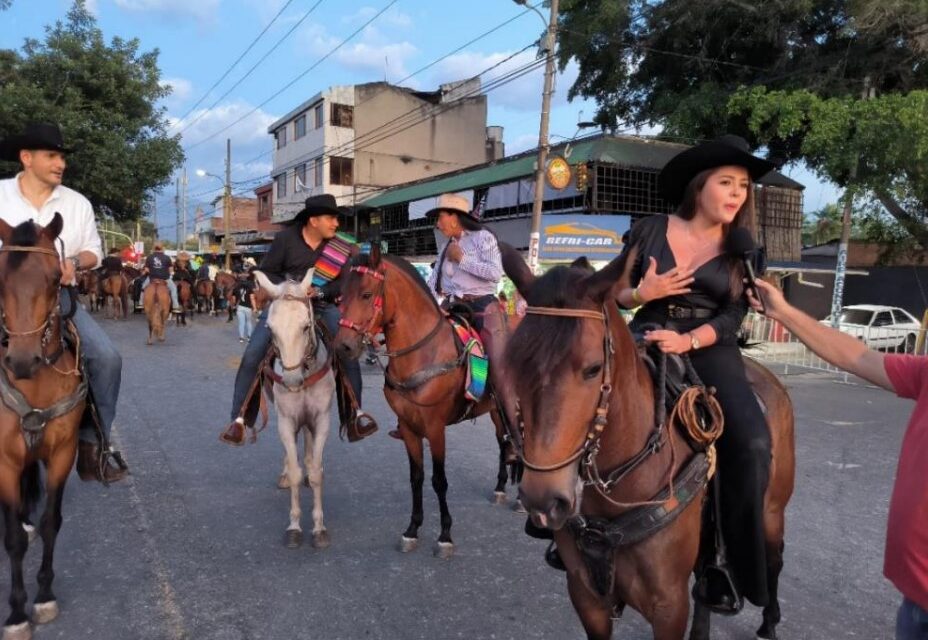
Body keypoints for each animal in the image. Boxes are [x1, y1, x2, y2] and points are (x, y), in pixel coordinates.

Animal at [254, 268, 338, 548]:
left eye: (305, 326)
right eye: (270, 328)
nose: (291, 381)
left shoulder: (321, 420)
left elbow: (317, 472)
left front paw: (319, 527)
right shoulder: (286, 421)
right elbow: (293, 471)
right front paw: (294, 526)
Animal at [334, 248, 520, 556]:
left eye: (366, 294)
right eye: (340, 297)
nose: (342, 346)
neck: (423, 354)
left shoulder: (435, 428)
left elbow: (439, 480)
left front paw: (444, 534)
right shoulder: (409, 428)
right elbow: (417, 478)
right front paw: (412, 529)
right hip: (495, 410)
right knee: (503, 441)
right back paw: (502, 486)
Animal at [504, 249, 792, 640]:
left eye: (592, 369)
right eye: (515, 365)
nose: (543, 499)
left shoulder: (668, 606)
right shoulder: (586, 596)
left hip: (771, 515)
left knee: (774, 560)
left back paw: (770, 621)